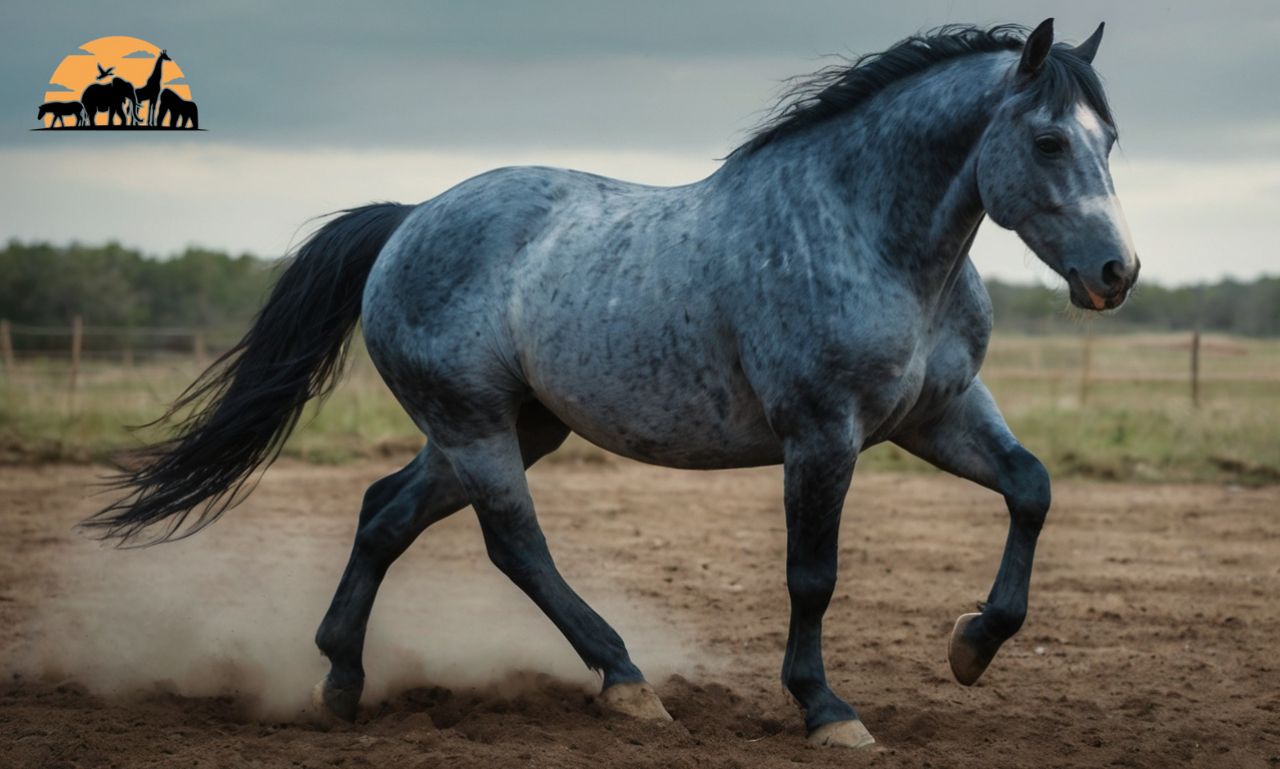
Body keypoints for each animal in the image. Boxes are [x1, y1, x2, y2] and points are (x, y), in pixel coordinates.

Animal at [87, 22, 1141, 747]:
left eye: (1112, 140)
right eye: (1049, 141)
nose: (1116, 273)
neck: (866, 233)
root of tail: (409, 218)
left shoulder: (938, 416)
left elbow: (1032, 488)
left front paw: (972, 645)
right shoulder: (822, 433)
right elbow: (813, 573)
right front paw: (827, 709)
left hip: (510, 427)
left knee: (385, 513)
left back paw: (341, 683)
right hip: (476, 427)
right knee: (515, 544)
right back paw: (628, 682)